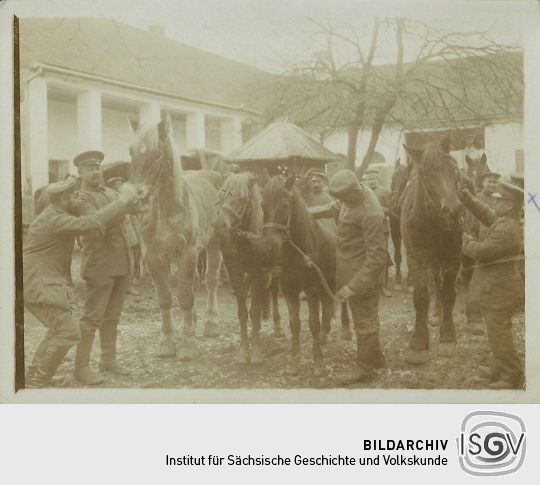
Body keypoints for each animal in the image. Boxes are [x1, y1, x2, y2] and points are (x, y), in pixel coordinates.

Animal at [215, 174, 282, 364]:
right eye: (221, 195)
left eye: (243, 199)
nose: (219, 226)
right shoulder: (236, 275)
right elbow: (243, 313)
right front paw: (243, 351)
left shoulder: (258, 274)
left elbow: (255, 313)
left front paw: (257, 351)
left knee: (274, 292)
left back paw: (277, 326)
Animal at [262, 176, 336, 376]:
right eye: (262, 205)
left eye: (284, 206)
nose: (269, 246)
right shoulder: (289, 289)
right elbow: (294, 324)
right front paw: (294, 362)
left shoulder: (312, 288)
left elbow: (313, 323)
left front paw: (318, 362)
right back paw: (325, 334)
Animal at [400, 140, 464, 364]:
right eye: (426, 173)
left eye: (453, 169)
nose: (453, 211)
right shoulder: (416, 258)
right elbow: (421, 296)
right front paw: (419, 342)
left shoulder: (453, 258)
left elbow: (448, 295)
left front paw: (448, 337)